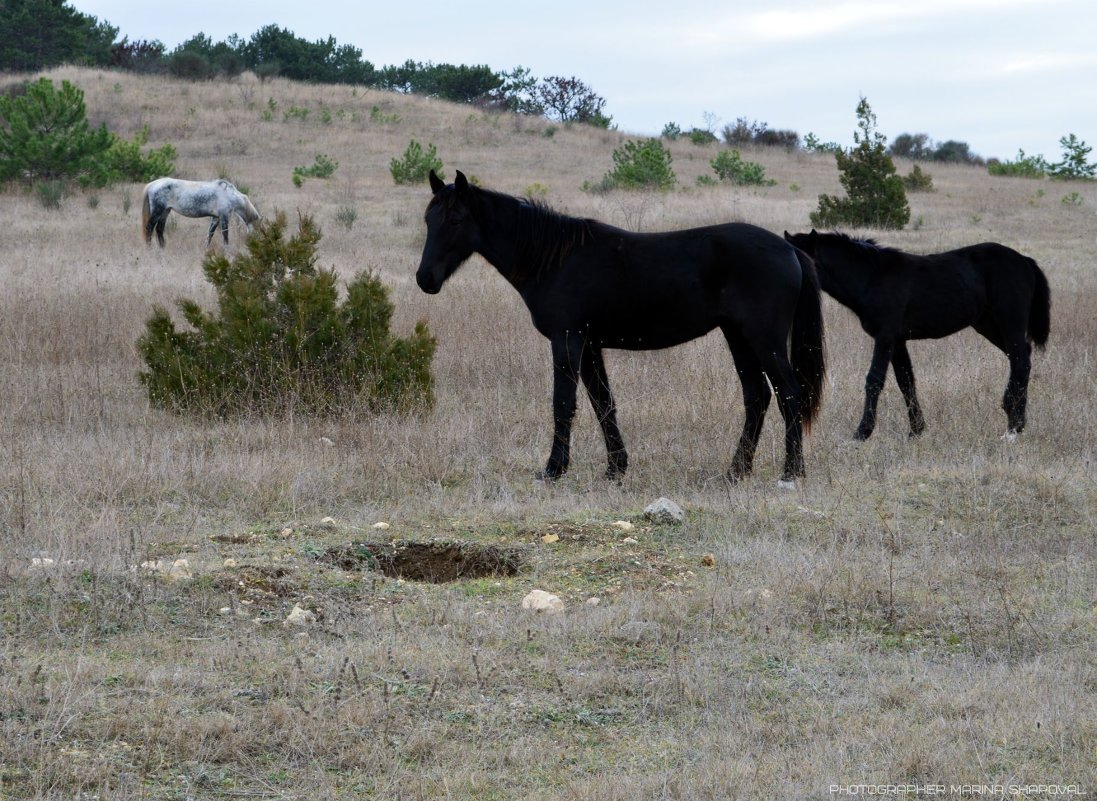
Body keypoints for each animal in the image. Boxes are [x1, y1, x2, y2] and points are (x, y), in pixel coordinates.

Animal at [416, 171, 824, 482]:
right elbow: (603, 404)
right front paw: (615, 468)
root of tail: (790, 250)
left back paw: (791, 472)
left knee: (789, 395)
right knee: (758, 398)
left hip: (764, 340)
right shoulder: (590, 345)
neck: (553, 259)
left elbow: (563, 403)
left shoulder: (567, 340)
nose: (425, 279)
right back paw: (736, 472)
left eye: (455, 220)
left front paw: (553, 469)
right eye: (428, 220)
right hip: (738, 337)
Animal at [785, 230, 1048, 438]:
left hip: (1009, 322)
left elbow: (874, 379)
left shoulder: (885, 337)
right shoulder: (898, 341)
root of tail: (1025, 261)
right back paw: (1015, 417)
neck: (872, 277)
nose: (793, 279)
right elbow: (906, 382)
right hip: (988, 325)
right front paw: (916, 430)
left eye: (804, 258)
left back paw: (1013, 423)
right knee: (1021, 358)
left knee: (1020, 361)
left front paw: (863, 431)